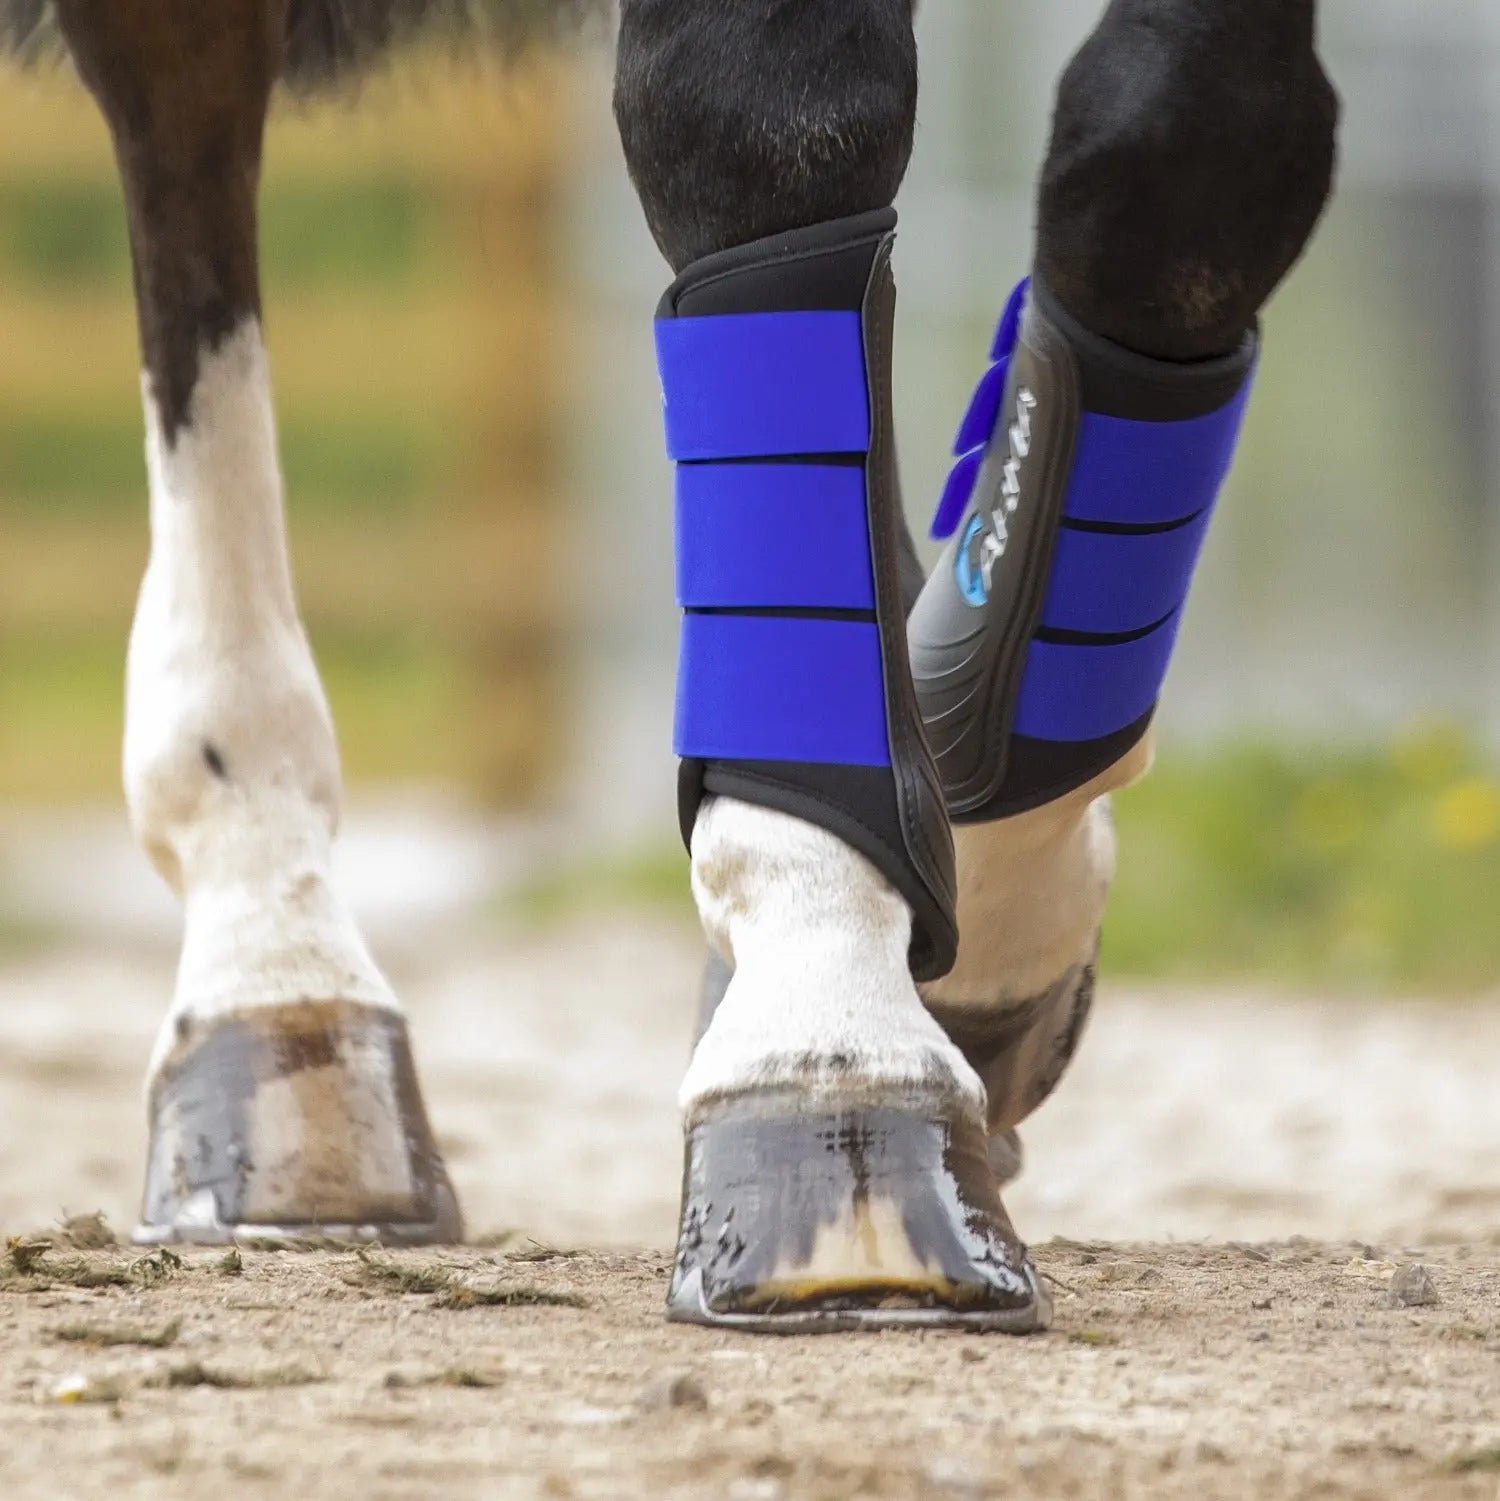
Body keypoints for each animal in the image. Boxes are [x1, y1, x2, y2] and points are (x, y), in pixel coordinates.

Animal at [0, 0, 1337, 1330]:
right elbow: (758, 127)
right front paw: (831, 1038)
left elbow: (1180, 159)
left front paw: (979, 912)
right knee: (186, 108)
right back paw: (277, 982)